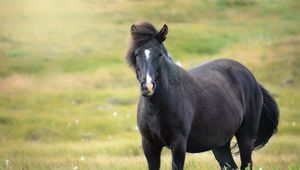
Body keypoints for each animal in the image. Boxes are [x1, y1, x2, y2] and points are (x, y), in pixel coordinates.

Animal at [125, 21, 278, 169]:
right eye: (137, 54)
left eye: (159, 54)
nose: (148, 86)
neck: (156, 107)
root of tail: (251, 77)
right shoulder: (149, 145)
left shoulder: (178, 144)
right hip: (220, 144)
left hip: (245, 137)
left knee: (246, 164)